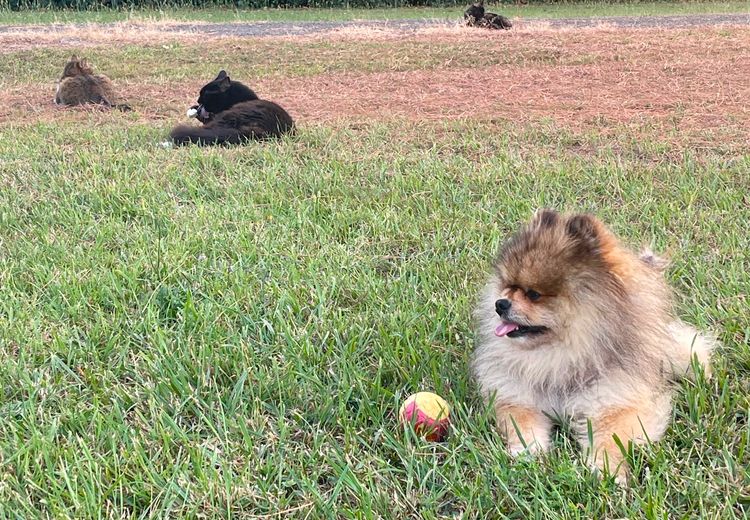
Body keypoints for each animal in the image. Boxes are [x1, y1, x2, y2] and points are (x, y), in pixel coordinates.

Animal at [476, 210, 716, 484]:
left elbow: (610, 439)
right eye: (508, 285)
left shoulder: (616, 403)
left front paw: (605, 470)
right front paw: (528, 452)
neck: (560, 356)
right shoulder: (518, 397)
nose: (500, 303)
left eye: (533, 294)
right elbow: (522, 425)